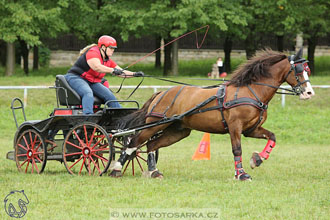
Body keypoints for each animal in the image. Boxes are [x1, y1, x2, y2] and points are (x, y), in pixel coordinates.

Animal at [110, 49, 314, 181]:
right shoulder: (235, 127)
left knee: (151, 145)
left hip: (177, 130)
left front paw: (257, 159)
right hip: (156, 124)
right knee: (134, 143)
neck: (251, 91)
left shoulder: (251, 129)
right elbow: (237, 149)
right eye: (299, 70)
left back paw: (153, 172)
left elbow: (272, 137)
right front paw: (241, 174)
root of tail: (161, 93)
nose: (309, 93)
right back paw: (116, 168)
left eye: (307, 70)